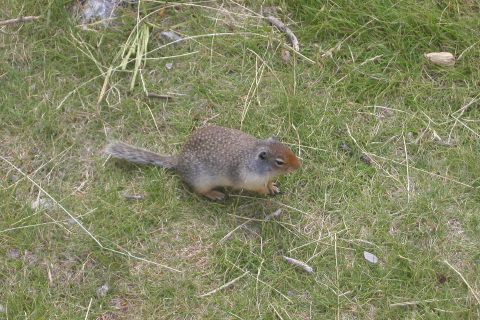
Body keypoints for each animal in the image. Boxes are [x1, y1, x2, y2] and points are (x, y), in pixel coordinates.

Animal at [106, 125, 300, 200]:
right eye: (279, 162)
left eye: (288, 147)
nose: (299, 166)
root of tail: (178, 162)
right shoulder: (249, 180)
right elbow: (258, 188)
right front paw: (266, 191)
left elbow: (269, 183)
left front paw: (273, 187)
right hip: (202, 180)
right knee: (199, 191)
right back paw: (215, 194)